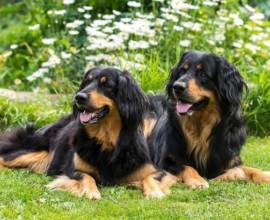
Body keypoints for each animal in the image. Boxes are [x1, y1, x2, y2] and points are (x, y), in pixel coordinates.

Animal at [0, 67, 175, 199]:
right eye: (86, 82)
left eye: (106, 84)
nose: (79, 97)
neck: (106, 139)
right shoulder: (72, 170)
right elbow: (86, 176)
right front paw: (91, 192)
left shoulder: (155, 169)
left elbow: (151, 177)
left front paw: (155, 192)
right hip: (35, 152)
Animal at [146, 50, 270, 188]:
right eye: (182, 71)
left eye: (203, 74)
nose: (177, 86)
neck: (201, 125)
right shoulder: (165, 160)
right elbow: (186, 166)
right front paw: (197, 180)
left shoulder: (229, 158)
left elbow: (248, 169)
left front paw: (264, 175)